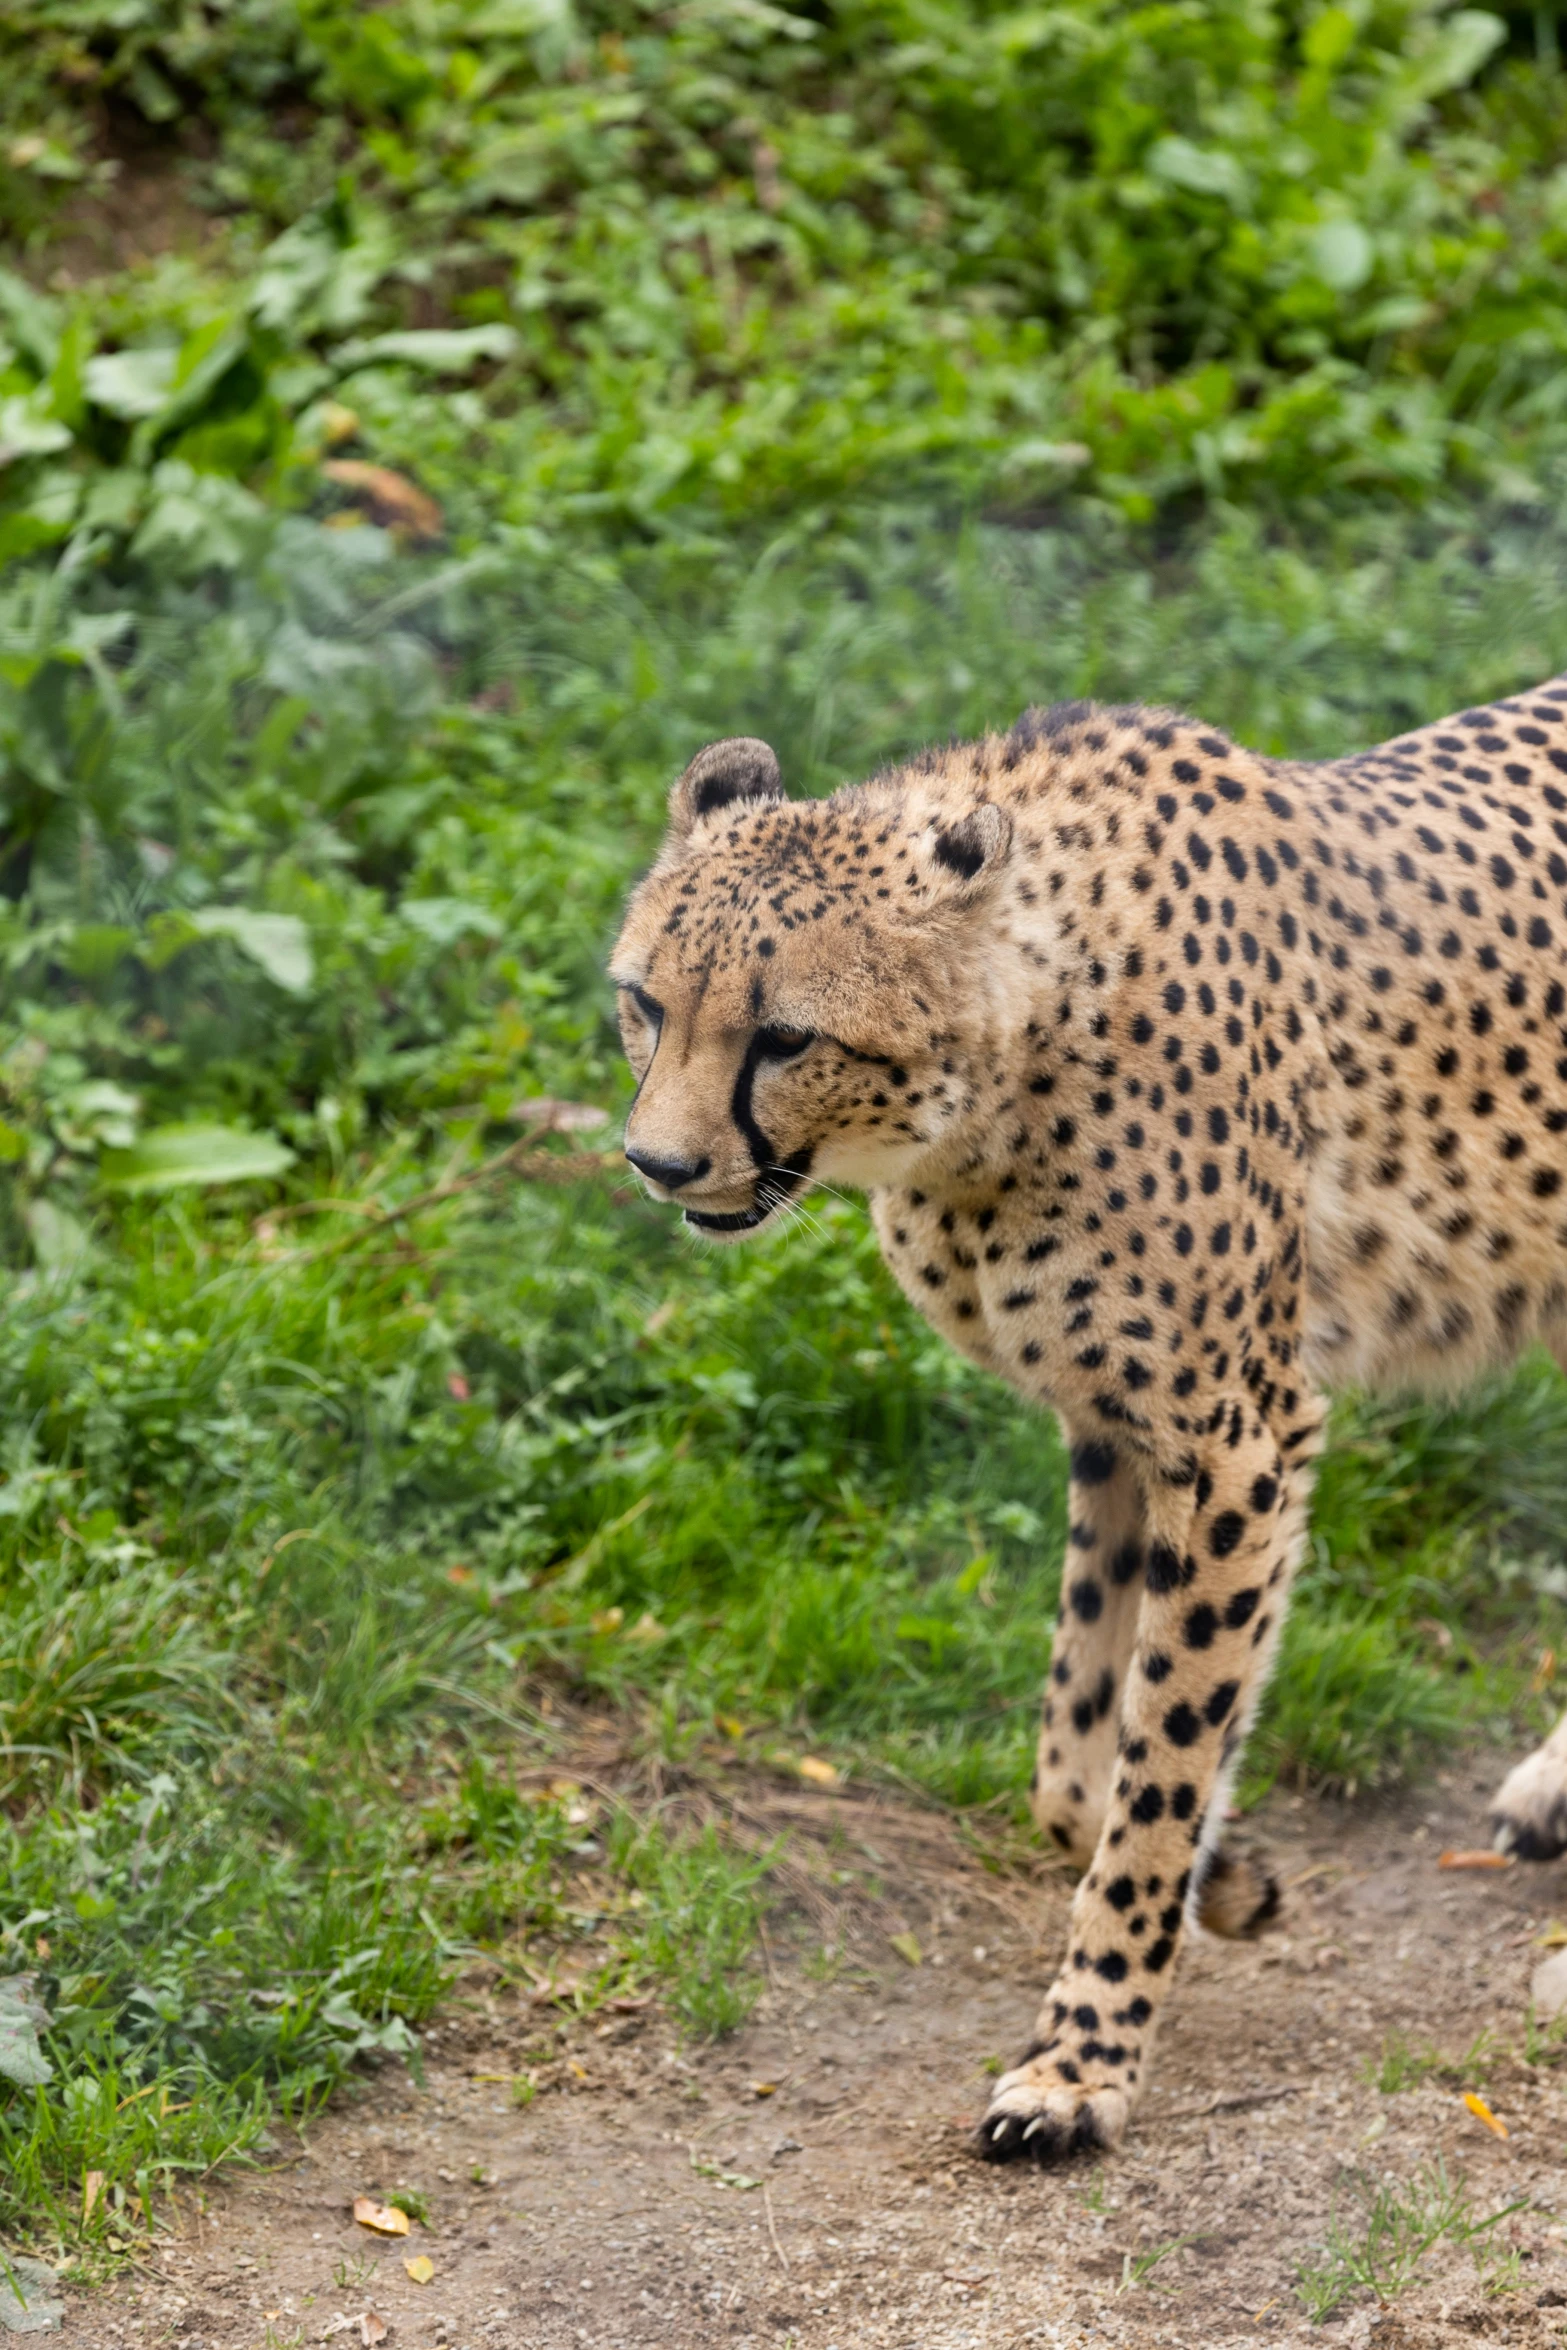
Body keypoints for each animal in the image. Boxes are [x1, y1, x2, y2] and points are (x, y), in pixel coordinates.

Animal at [606, 690, 1567, 2162]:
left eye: (785, 1037)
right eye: (644, 1004)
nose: (658, 1164)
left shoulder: (1238, 1439)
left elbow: (1157, 1757)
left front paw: (1079, 2061)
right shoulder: (1113, 1427)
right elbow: (1079, 1758)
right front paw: (1227, 1873)